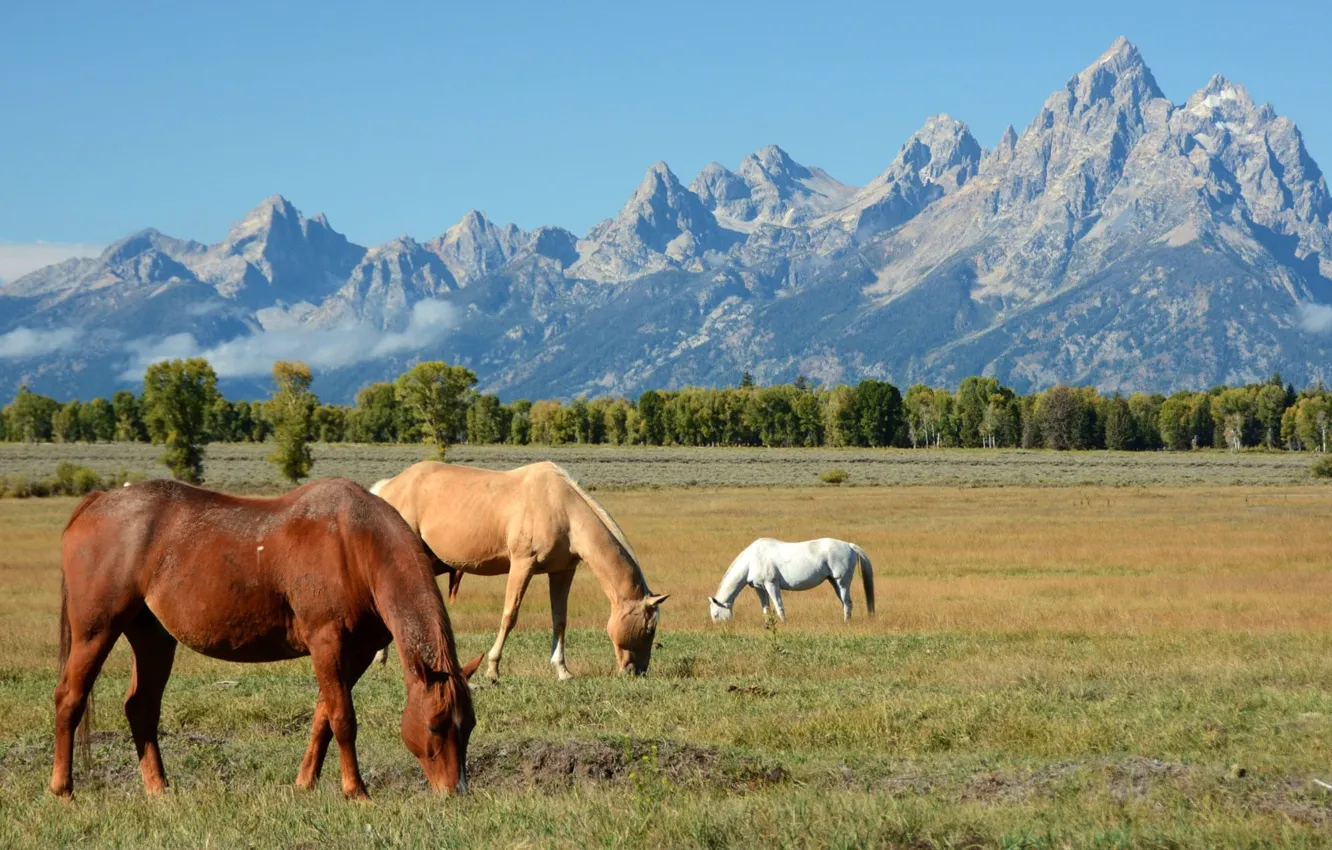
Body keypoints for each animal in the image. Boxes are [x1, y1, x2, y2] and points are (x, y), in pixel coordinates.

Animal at [49, 479, 484, 804]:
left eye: (470, 725)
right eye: (434, 726)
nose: (454, 792)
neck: (355, 544)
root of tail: (97, 501)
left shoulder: (356, 653)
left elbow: (323, 717)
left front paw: (305, 783)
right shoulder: (326, 642)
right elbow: (343, 718)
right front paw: (355, 791)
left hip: (153, 639)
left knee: (140, 708)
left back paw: (158, 789)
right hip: (95, 632)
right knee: (70, 698)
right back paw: (63, 789)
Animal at [370, 463, 671, 682]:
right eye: (649, 629)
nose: (637, 671)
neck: (562, 508)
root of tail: (388, 487)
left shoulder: (562, 572)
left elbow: (559, 620)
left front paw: (562, 670)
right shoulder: (522, 565)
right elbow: (509, 615)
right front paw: (492, 669)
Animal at [708, 538, 873, 626]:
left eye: (716, 614)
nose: (720, 627)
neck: (753, 559)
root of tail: (849, 545)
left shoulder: (771, 585)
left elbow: (778, 606)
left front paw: (783, 623)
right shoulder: (759, 588)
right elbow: (766, 609)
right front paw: (768, 625)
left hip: (842, 582)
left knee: (848, 602)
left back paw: (846, 622)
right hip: (834, 582)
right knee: (844, 602)